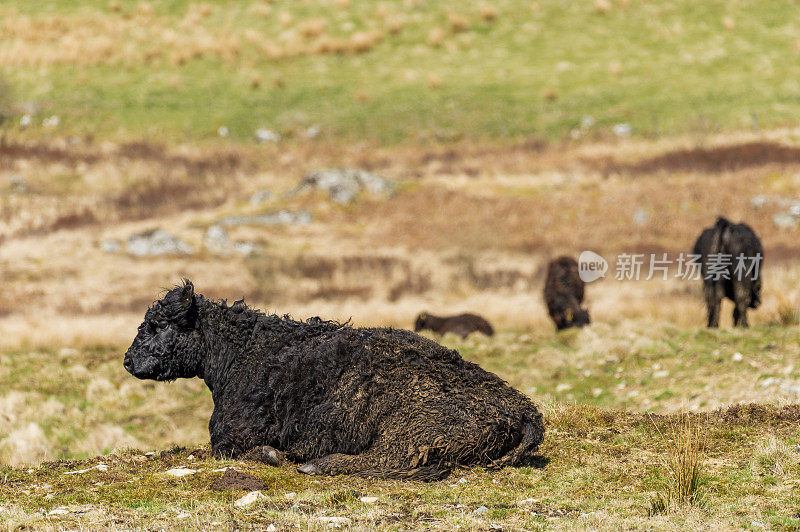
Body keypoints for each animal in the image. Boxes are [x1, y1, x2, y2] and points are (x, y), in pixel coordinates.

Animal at [125, 280, 548, 480]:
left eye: (157, 325)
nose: (128, 360)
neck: (242, 351)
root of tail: (525, 410)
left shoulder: (231, 439)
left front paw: (275, 455)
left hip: (411, 429)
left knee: (391, 463)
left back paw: (318, 464)